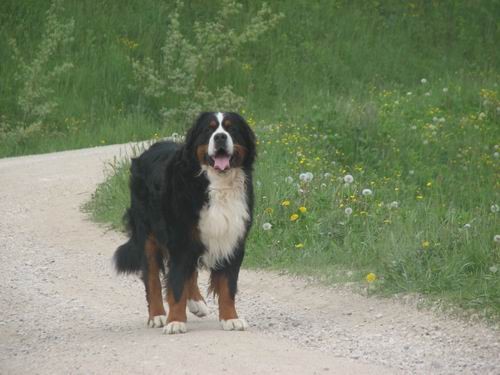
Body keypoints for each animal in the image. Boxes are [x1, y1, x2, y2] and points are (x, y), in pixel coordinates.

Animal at [113, 111, 254, 334]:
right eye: (209, 129)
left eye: (231, 128)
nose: (220, 137)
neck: (217, 184)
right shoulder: (180, 238)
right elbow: (176, 283)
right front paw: (175, 321)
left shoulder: (232, 238)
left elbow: (227, 284)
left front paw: (231, 318)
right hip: (148, 235)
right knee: (152, 278)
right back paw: (158, 315)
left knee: (191, 271)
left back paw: (196, 302)